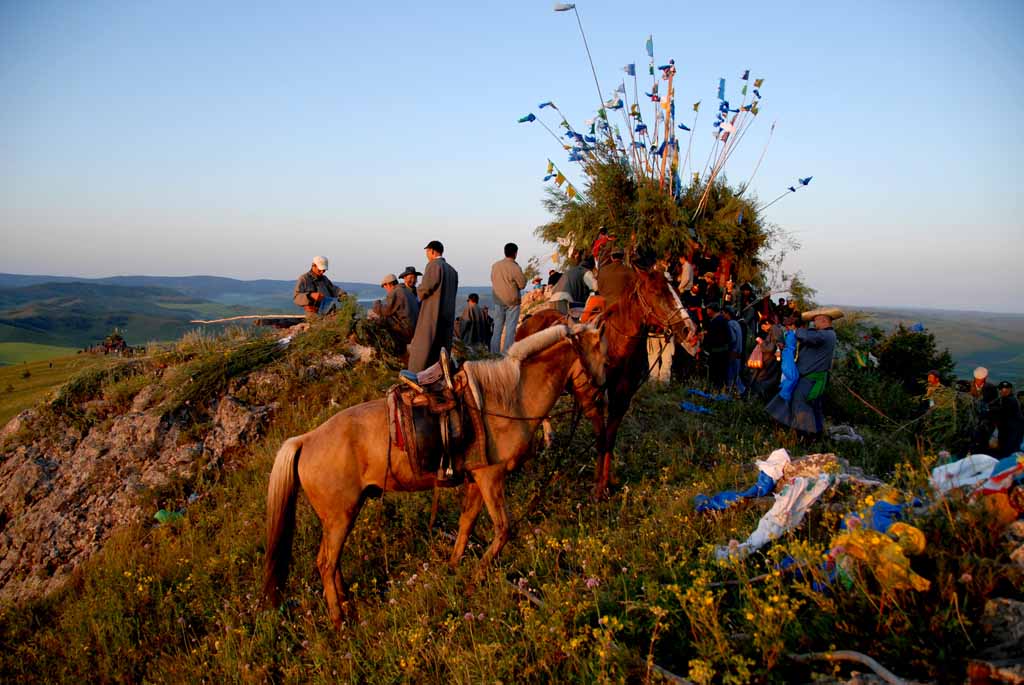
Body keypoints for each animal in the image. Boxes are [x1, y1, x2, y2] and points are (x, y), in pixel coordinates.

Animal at [260, 321, 606, 626]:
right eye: (602, 355)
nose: (601, 400)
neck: (508, 399)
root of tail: (305, 439)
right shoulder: (492, 478)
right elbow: (504, 529)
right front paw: (477, 576)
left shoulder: (477, 480)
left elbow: (466, 524)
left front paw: (454, 567)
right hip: (339, 515)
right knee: (325, 562)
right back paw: (338, 619)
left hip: (343, 514)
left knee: (332, 561)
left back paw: (345, 600)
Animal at [516, 266, 700, 497]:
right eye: (656, 292)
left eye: (675, 288)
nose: (689, 330)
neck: (613, 346)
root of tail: (529, 319)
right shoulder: (591, 402)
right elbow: (601, 439)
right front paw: (597, 487)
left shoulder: (620, 402)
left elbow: (610, 439)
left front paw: (606, 483)